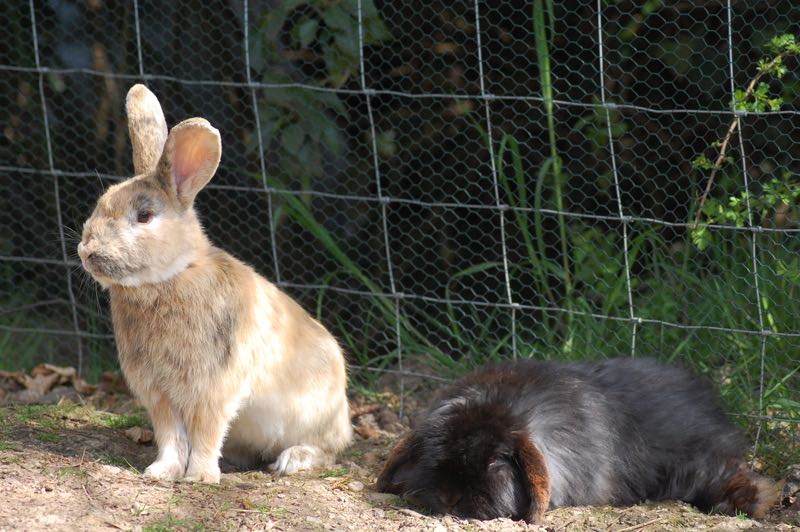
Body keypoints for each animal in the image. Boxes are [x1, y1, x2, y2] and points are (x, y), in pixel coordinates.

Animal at [79, 85, 354, 484]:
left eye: (144, 216)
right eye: (101, 204)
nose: (87, 251)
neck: (172, 276)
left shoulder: (213, 389)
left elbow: (206, 433)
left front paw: (199, 477)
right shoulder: (159, 394)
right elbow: (171, 437)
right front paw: (161, 472)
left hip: (316, 417)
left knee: (328, 450)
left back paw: (293, 460)